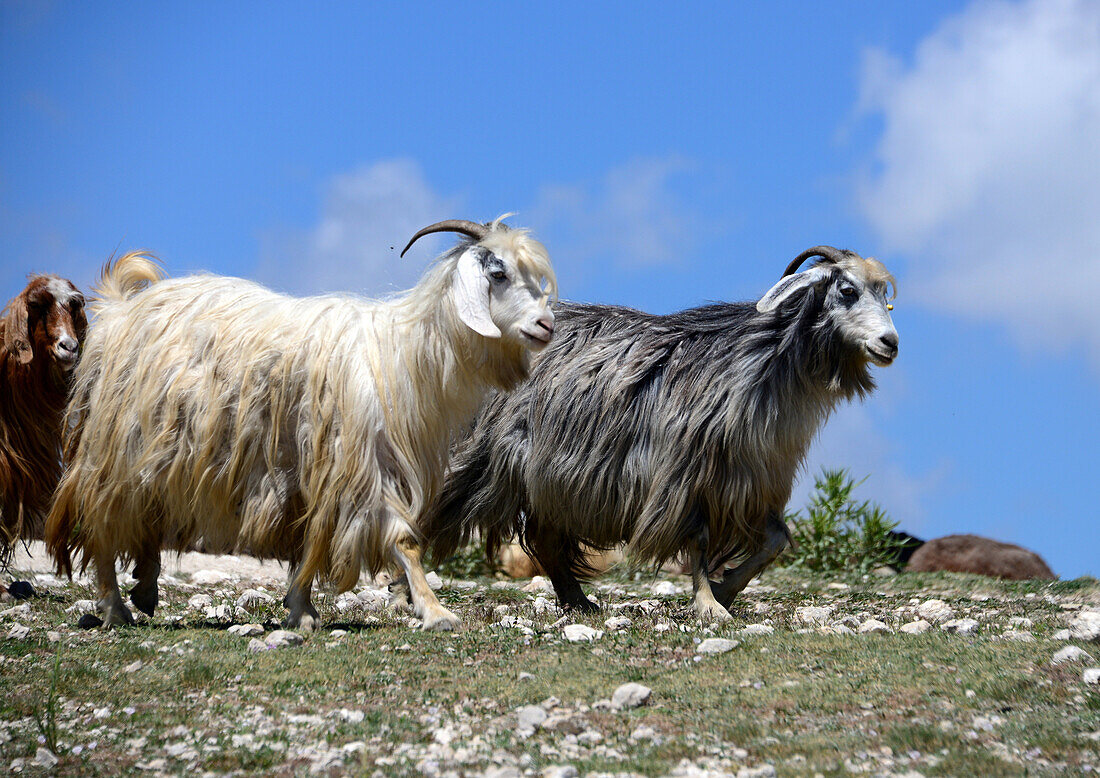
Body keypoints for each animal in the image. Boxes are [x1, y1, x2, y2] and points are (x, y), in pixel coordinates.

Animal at [46, 218, 554, 633]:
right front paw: (436, 612)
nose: (546, 324)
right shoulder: (358, 465)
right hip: (116, 448)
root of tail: (119, 309)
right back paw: (115, 607)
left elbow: (309, 540)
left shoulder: (313, 470)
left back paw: (146, 590)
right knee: (103, 520)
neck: (404, 355)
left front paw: (302, 609)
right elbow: (403, 540)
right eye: (498, 273)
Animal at [424, 246, 897, 625]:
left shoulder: (751, 481)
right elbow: (699, 542)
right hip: (485, 458)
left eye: (884, 296)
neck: (761, 360)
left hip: (544, 477)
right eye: (847, 290)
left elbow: (776, 541)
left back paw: (579, 602)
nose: (890, 342)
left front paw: (725, 590)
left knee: (547, 538)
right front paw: (710, 604)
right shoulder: (685, 476)